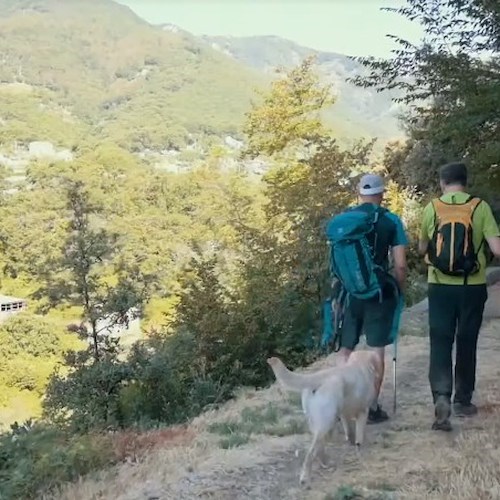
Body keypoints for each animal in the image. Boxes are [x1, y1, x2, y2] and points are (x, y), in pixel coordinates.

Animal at [268, 350, 380, 486]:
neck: (359, 364)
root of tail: (316, 377)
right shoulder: (363, 411)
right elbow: (359, 435)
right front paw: (359, 448)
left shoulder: (344, 414)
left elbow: (350, 431)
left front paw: (352, 442)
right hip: (326, 422)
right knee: (310, 453)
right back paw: (305, 477)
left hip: (319, 423)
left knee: (319, 448)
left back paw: (325, 464)